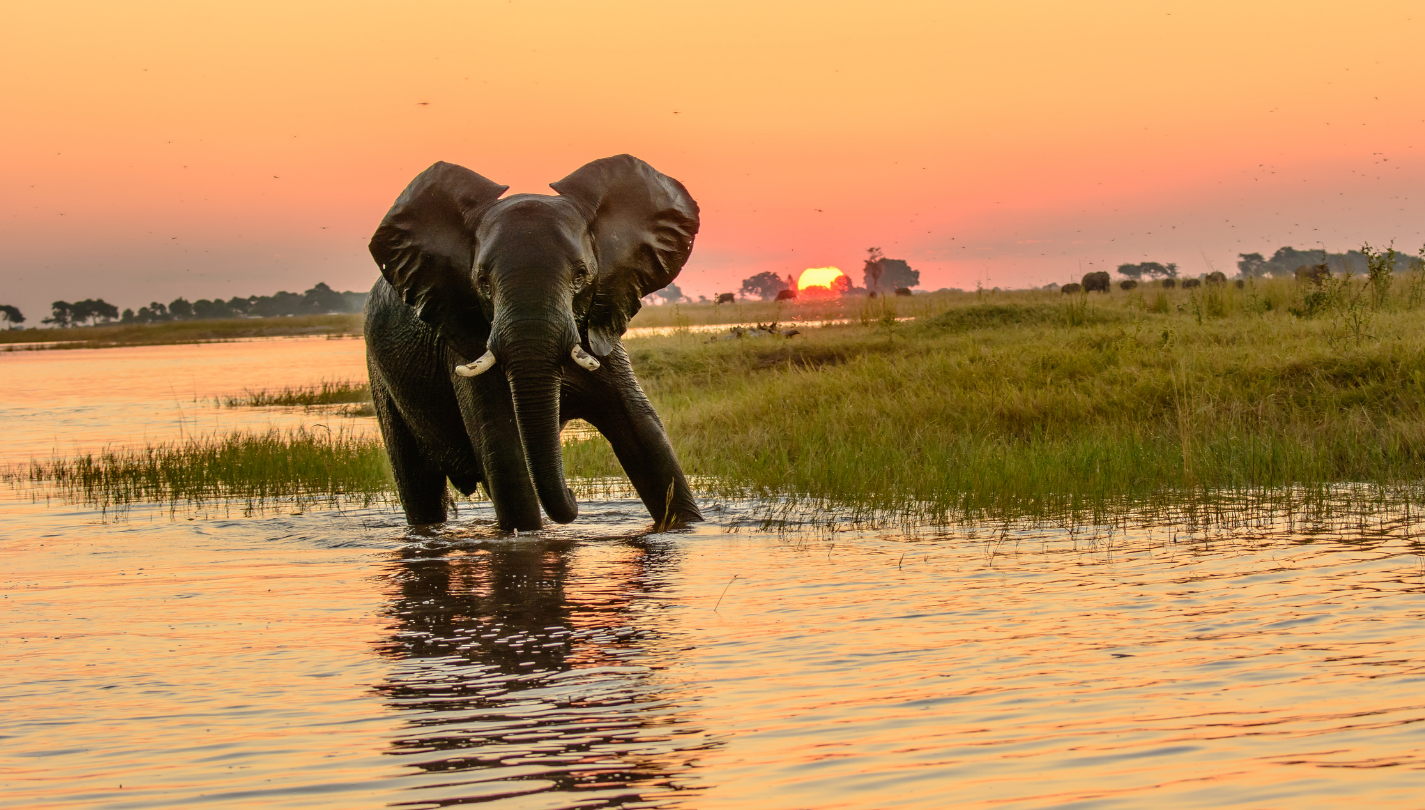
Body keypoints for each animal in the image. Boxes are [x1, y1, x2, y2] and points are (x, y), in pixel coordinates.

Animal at [364, 154, 702, 531]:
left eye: (581, 275)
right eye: (482, 282)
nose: (574, 495)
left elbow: (645, 435)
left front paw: (687, 528)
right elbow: (505, 454)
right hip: (382, 379)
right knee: (419, 487)